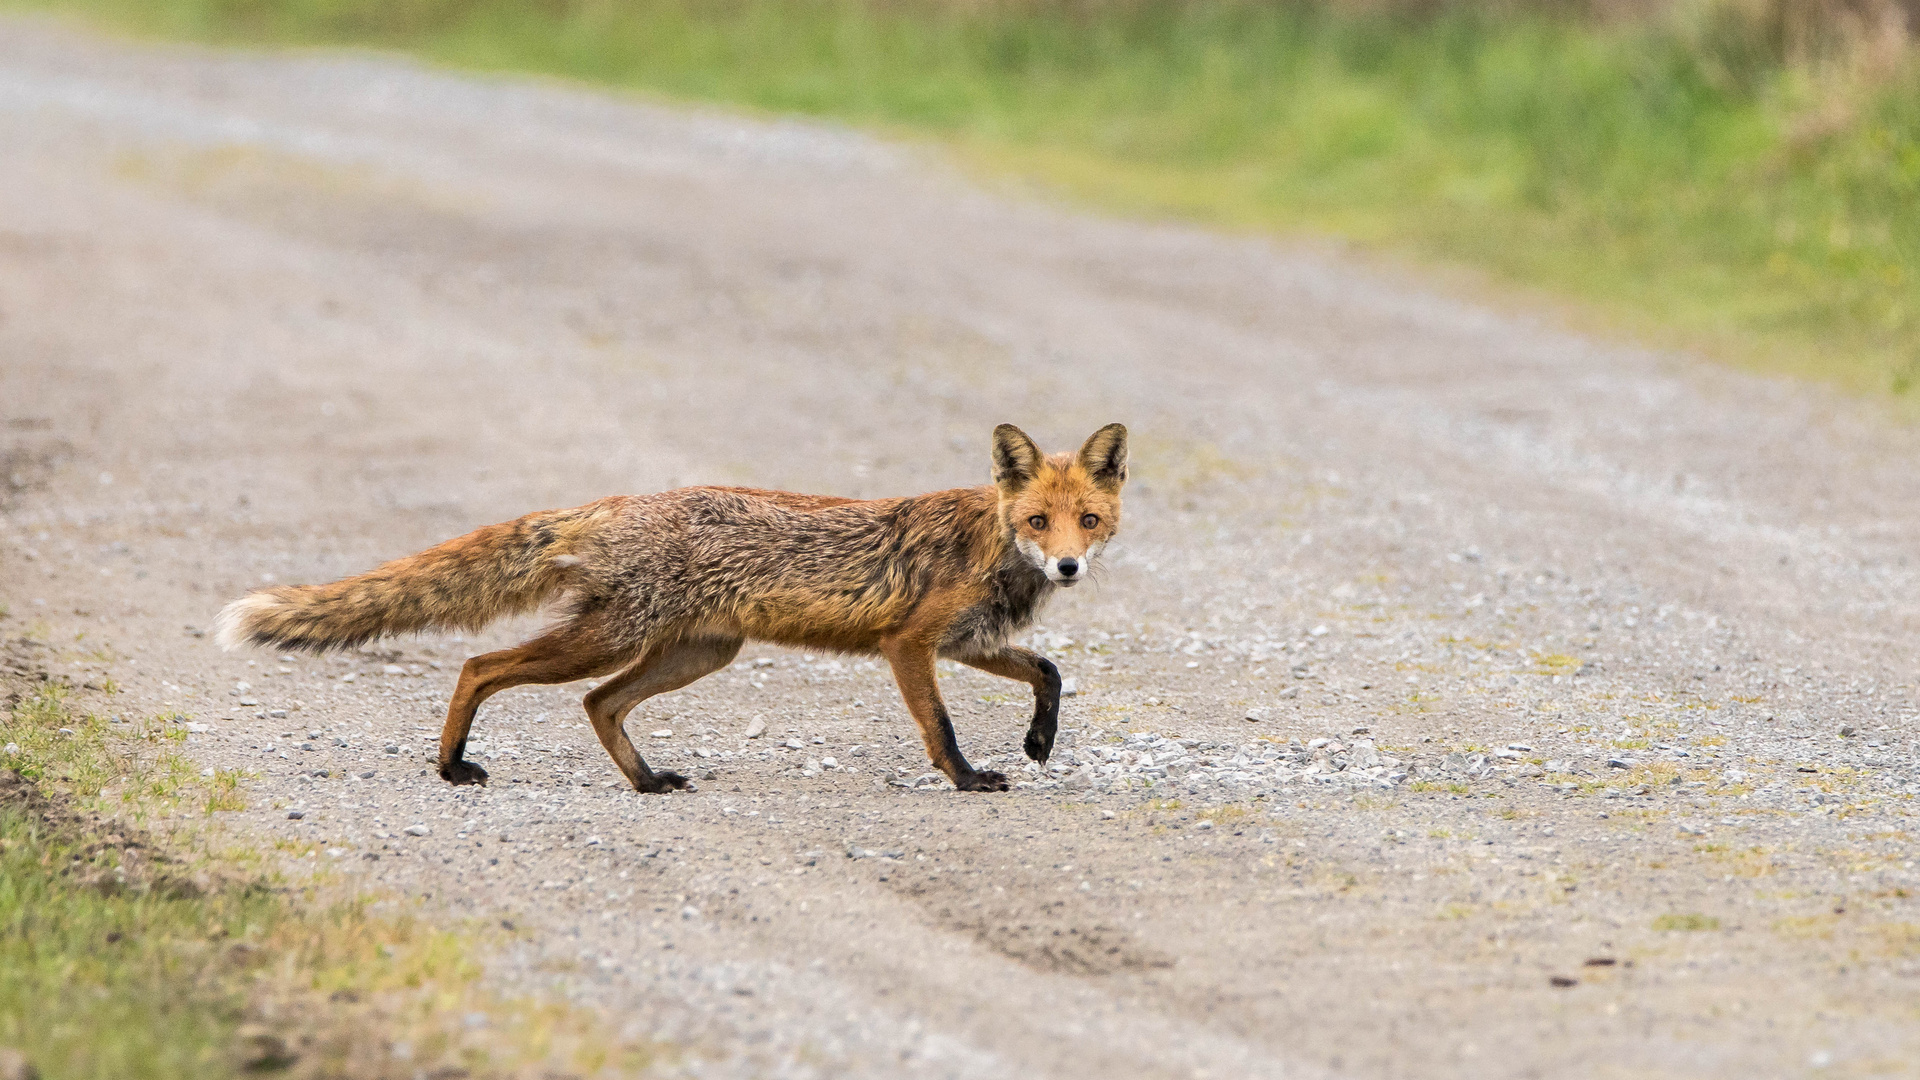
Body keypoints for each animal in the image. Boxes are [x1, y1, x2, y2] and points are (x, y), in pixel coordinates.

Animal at [219, 422, 1121, 791]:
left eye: (1088, 519)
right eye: (1036, 521)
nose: (1068, 564)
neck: (991, 547)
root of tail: (617, 501)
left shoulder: (966, 642)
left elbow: (1049, 671)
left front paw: (1040, 741)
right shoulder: (910, 646)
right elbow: (942, 728)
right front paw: (968, 780)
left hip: (691, 654)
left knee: (599, 704)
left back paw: (647, 782)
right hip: (609, 639)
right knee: (481, 665)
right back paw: (450, 767)